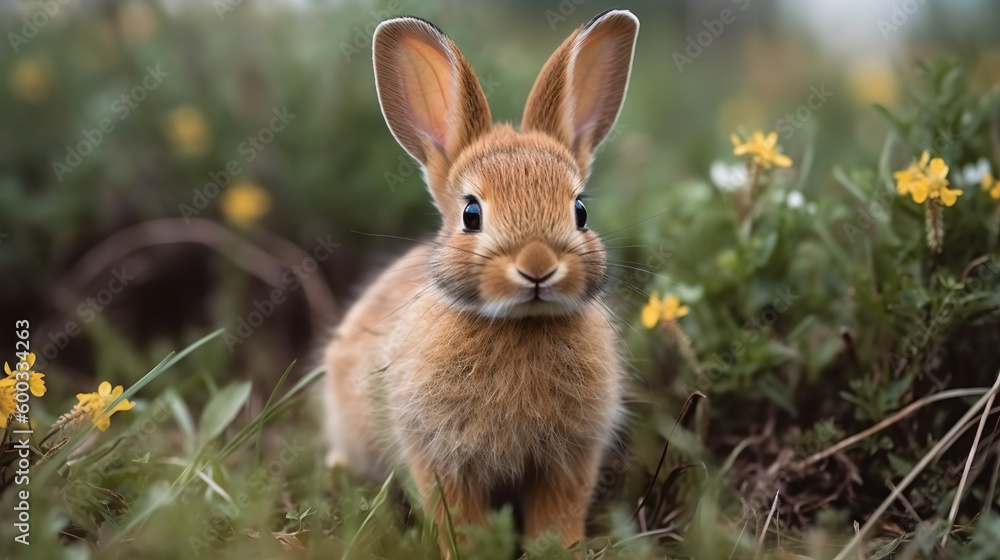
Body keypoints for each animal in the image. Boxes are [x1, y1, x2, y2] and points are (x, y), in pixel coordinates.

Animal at [323, 8, 639, 551]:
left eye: (580, 211)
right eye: (472, 214)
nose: (537, 265)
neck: (522, 324)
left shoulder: (570, 458)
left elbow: (558, 514)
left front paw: (560, 551)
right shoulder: (440, 455)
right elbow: (458, 517)